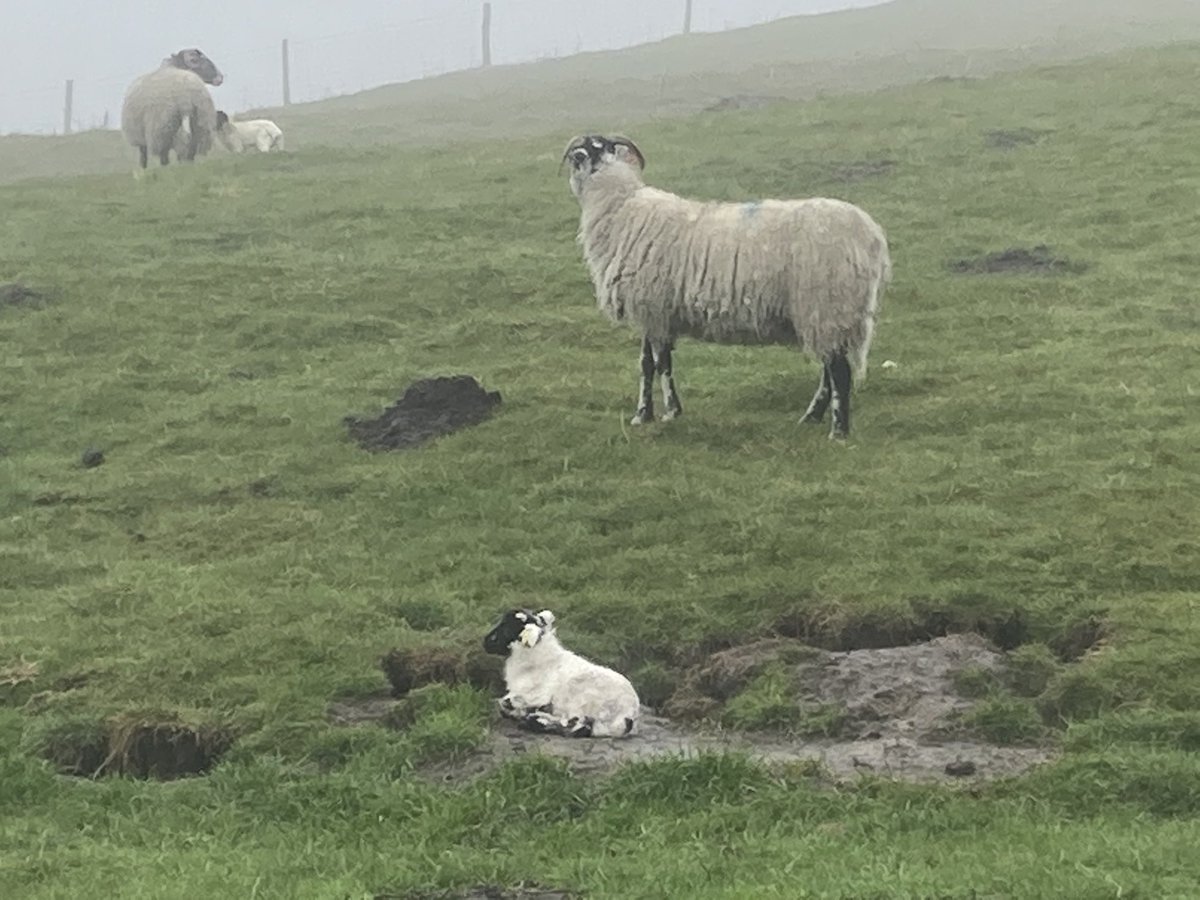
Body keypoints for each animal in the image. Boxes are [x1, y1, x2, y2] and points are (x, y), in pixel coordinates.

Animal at [482, 608, 640, 738]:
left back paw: (536, 721)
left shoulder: (535, 695)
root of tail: (630, 712)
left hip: (584, 700)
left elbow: (504, 703)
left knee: (580, 727)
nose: (486, 642)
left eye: (508, 629)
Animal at [562, 134, 892, 439]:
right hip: (823, 314)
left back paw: (838, 431)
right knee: (828, 369)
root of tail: (871, 236)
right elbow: (646, 364)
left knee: (839, 372)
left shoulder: (654, 307)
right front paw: (643, 414)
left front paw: (670, 411)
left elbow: (662, 364)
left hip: (827, 304)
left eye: (598, 147)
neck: (621, 205)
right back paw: (811, 417)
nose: (576, 157)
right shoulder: (652, 312)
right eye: (583, 146)